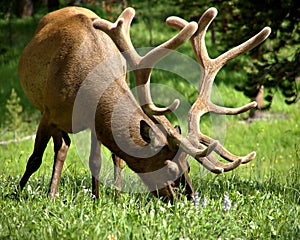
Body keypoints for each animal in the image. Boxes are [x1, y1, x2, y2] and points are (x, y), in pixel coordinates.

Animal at [15, 5, 270, 202]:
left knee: (82, 150)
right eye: (169, 168)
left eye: (188, 166)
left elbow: (96, 161)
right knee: (61, 147)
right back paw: (50, 193)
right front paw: (16, 193)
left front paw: (99, 200)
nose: (189, 199)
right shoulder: (47, 113)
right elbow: (35, 159)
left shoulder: (95, 123)